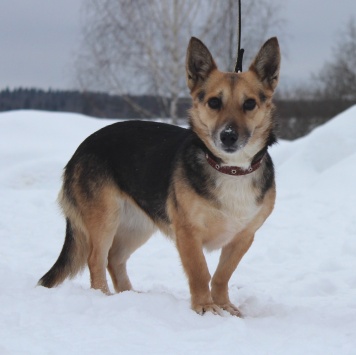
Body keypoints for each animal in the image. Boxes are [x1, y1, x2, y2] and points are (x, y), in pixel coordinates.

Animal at [37, 36, 280, 318]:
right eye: (214, 103)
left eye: (249, 103)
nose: (228, 136)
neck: (230, 168)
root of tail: (80, 149)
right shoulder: (187, 233)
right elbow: (200, 272)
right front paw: (205, 306)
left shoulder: (243, 237)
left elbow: (221, 275)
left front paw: (224, 305)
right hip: (105, 218)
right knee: (96, 260)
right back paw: (105, 299)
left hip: (137, 225)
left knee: (114, 259)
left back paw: (129, 295)